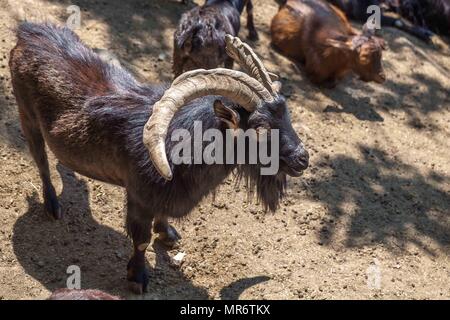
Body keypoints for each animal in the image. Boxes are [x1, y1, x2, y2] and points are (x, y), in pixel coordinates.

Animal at [9, 23, 310, 296]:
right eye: (259, 127)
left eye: (286, 113)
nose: (302, 159)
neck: (180, 148)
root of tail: (27, 32)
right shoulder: (139, 197)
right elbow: (141, 241)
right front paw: (138, 278)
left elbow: (162, 217)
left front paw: (167, 234)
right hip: (26, 114)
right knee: (40, 160)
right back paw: (52, 206)